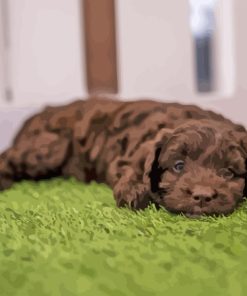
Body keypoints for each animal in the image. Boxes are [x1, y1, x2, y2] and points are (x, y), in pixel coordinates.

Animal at [0, 97, 247, 217]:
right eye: (178, 166)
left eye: (228, 173)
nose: (202, 196)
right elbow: (132, 172)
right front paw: (134, 192)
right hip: (48, 148)